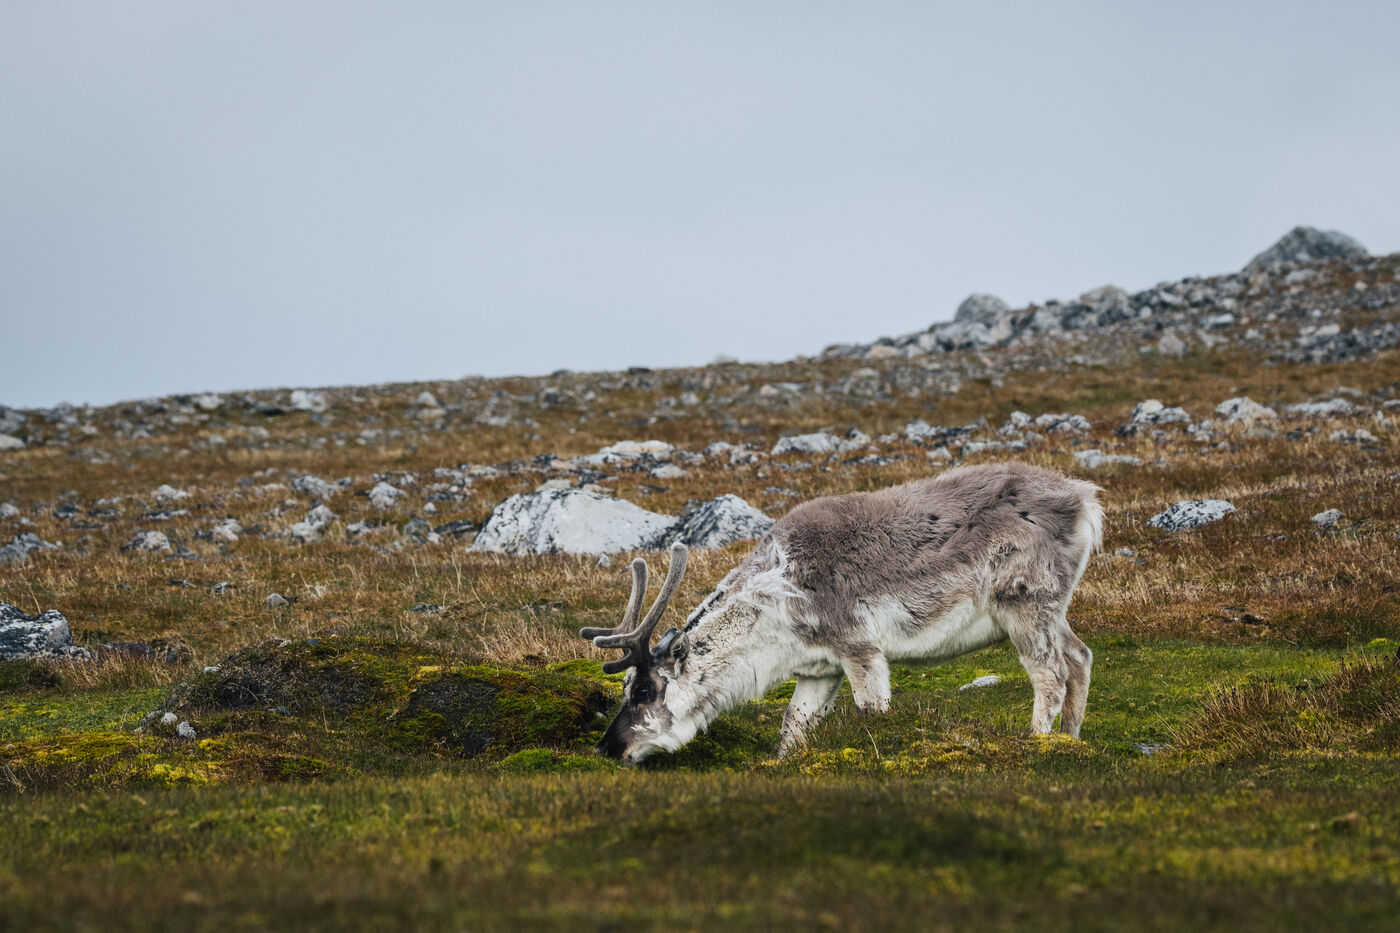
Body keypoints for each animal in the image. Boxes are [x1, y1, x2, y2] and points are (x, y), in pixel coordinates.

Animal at [581, 461, 1104, 765]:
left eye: (644, 690)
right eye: (624, 687)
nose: (608, 748)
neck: (774, 607)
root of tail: (1085, 499)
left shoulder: (859, 646)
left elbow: (873, 711)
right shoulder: (819, 669)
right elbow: (791, 728)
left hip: (1025, 603)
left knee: (1051, 673)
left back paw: (1037, 744)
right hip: (1054, 608)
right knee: (1080, 657)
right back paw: (1071, 741)